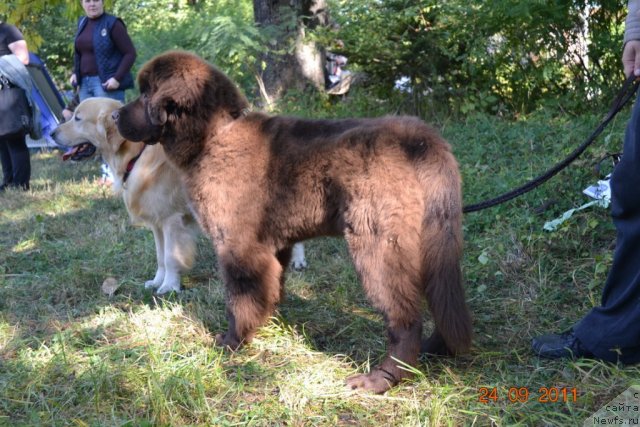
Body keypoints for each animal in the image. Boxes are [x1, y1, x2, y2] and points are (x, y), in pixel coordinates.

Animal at [50, 97, 308, 294]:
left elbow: (171, 257)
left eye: (77, 118)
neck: (136, 155)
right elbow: (160, 256)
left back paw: (297, 260)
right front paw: (157, 281)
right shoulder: (157, 223)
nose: (51, 133)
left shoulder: (172, 220)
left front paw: (169, 287)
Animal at [112, 51, 472, 394]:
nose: (115, 116)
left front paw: (232, 342)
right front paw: (265, 326)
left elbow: (239, 299)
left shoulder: (238, 245)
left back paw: (381, 379)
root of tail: (421, 141)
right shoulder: (274, 246)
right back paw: (434, 349)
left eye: (146, 94)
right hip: (434, 241)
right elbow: (269, 290)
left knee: (405, 317)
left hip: (378, 246)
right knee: (442, 301)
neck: (215, 136)